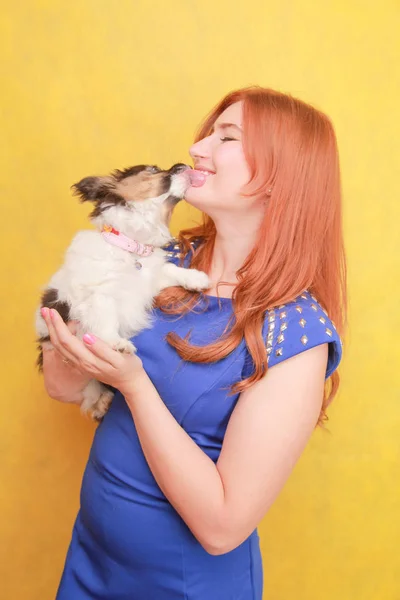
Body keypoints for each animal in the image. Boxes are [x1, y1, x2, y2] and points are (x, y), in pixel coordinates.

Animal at [35, 162, 209, 420]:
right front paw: (115, 343)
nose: (182, 164)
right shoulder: (99, 293)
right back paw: (101, 402)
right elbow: (106, 318)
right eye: (153, 169)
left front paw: (196, 278)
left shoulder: (151, 280)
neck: (132, 247)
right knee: (90, 396)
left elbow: (170, 269)